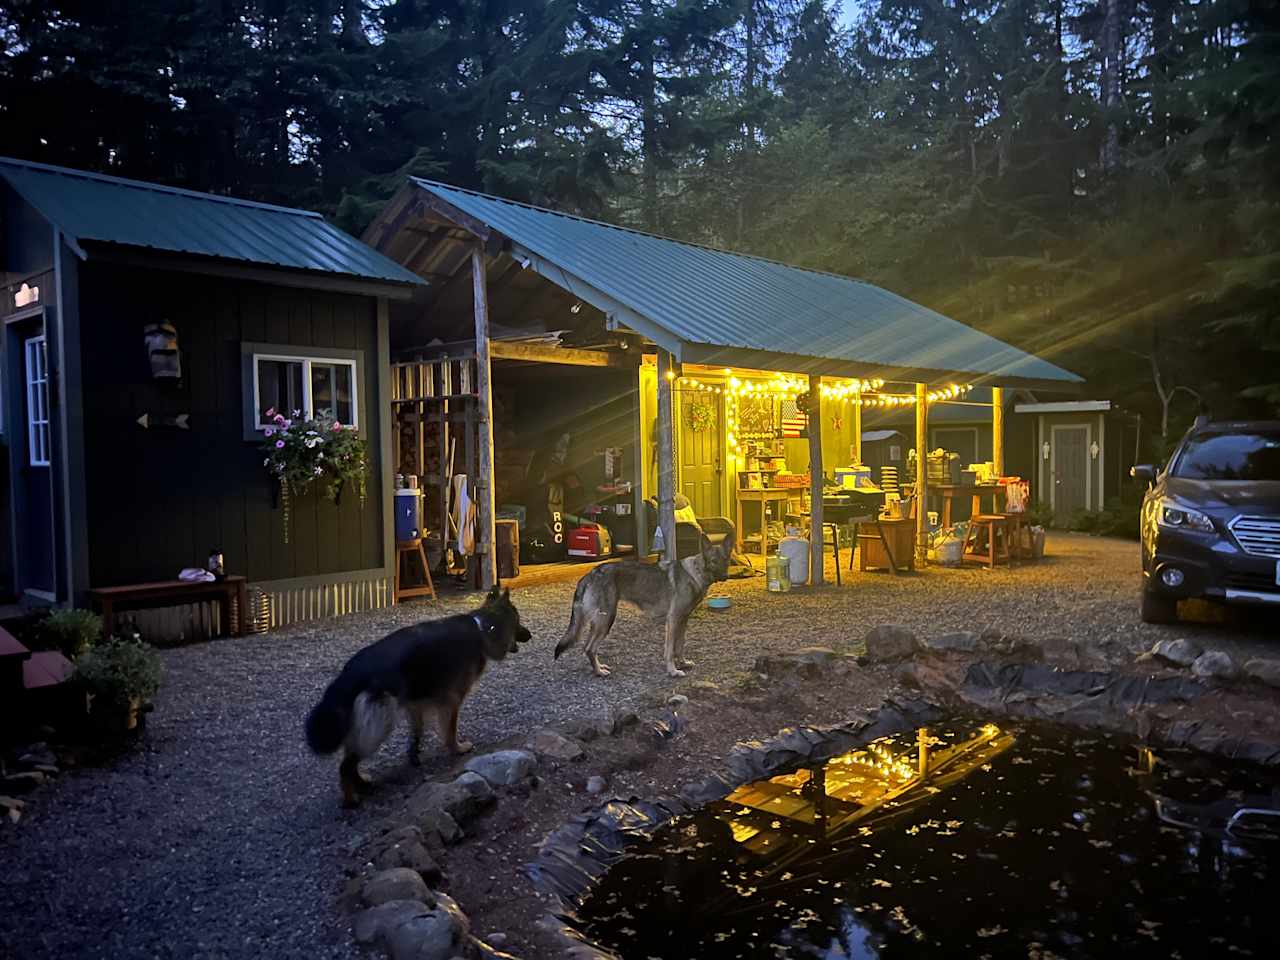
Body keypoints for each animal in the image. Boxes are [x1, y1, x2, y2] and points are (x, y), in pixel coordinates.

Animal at [304, 591, 529, 808]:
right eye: (518, 621)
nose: (530, 635)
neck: (482, 629)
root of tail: (351, 672)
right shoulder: (452, 701)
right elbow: (450, 730)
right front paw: (457, 749)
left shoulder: (415, 703)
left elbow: (417, 731)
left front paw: (414, 754)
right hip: (380, 725)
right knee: (346, 765)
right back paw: (351, 799)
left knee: (350, 759)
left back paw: (361, 782)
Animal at [555, 535, 737, 686]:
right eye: (713, 561)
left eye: (726, 559)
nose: (725, 577)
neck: (695, 573)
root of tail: (590, 573)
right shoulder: (673, 620)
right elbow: (670, 650)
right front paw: (673, 671)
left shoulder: (683, 620)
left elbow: (680, 646)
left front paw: (683, 663)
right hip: (606, 620)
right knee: (590, 648)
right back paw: (599, 672)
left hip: (600, 622)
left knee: (587, 648)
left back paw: (598, 668)